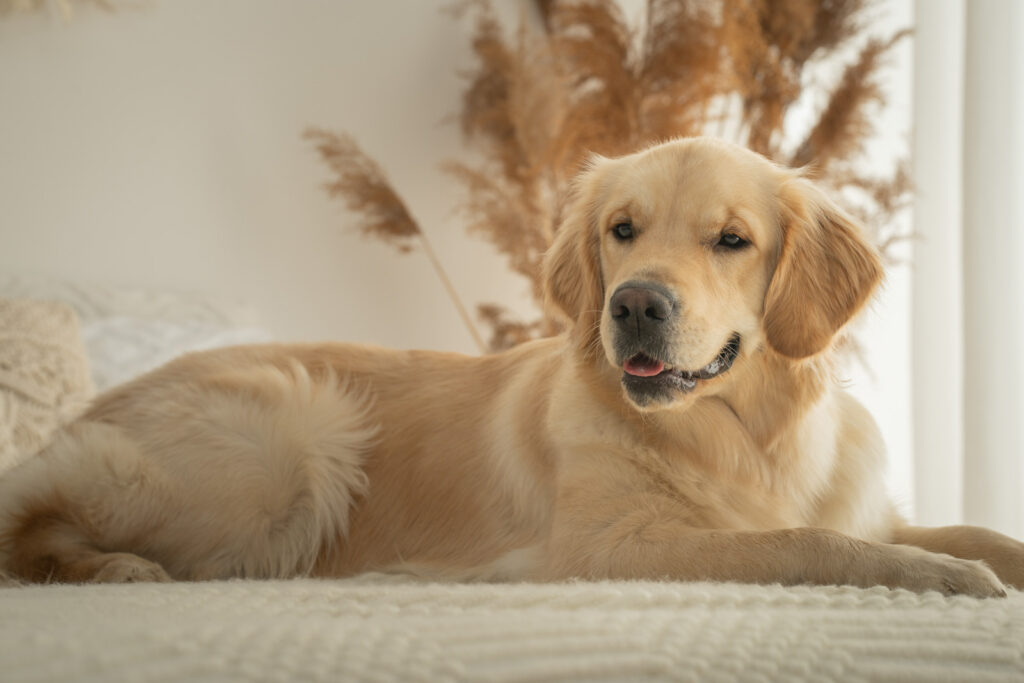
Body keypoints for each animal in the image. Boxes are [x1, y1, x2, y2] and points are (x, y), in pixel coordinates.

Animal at [2, 136, 1024, 593]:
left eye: (732, 239)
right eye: (622, 230)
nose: (634, 304)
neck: (745, 432)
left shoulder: (873, 503)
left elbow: (975, 529)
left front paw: (979, 561)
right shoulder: (609, 548)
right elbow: (798, 541)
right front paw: (939, 578)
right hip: (295, 438)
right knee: (28, 523)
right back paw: (115, 567)